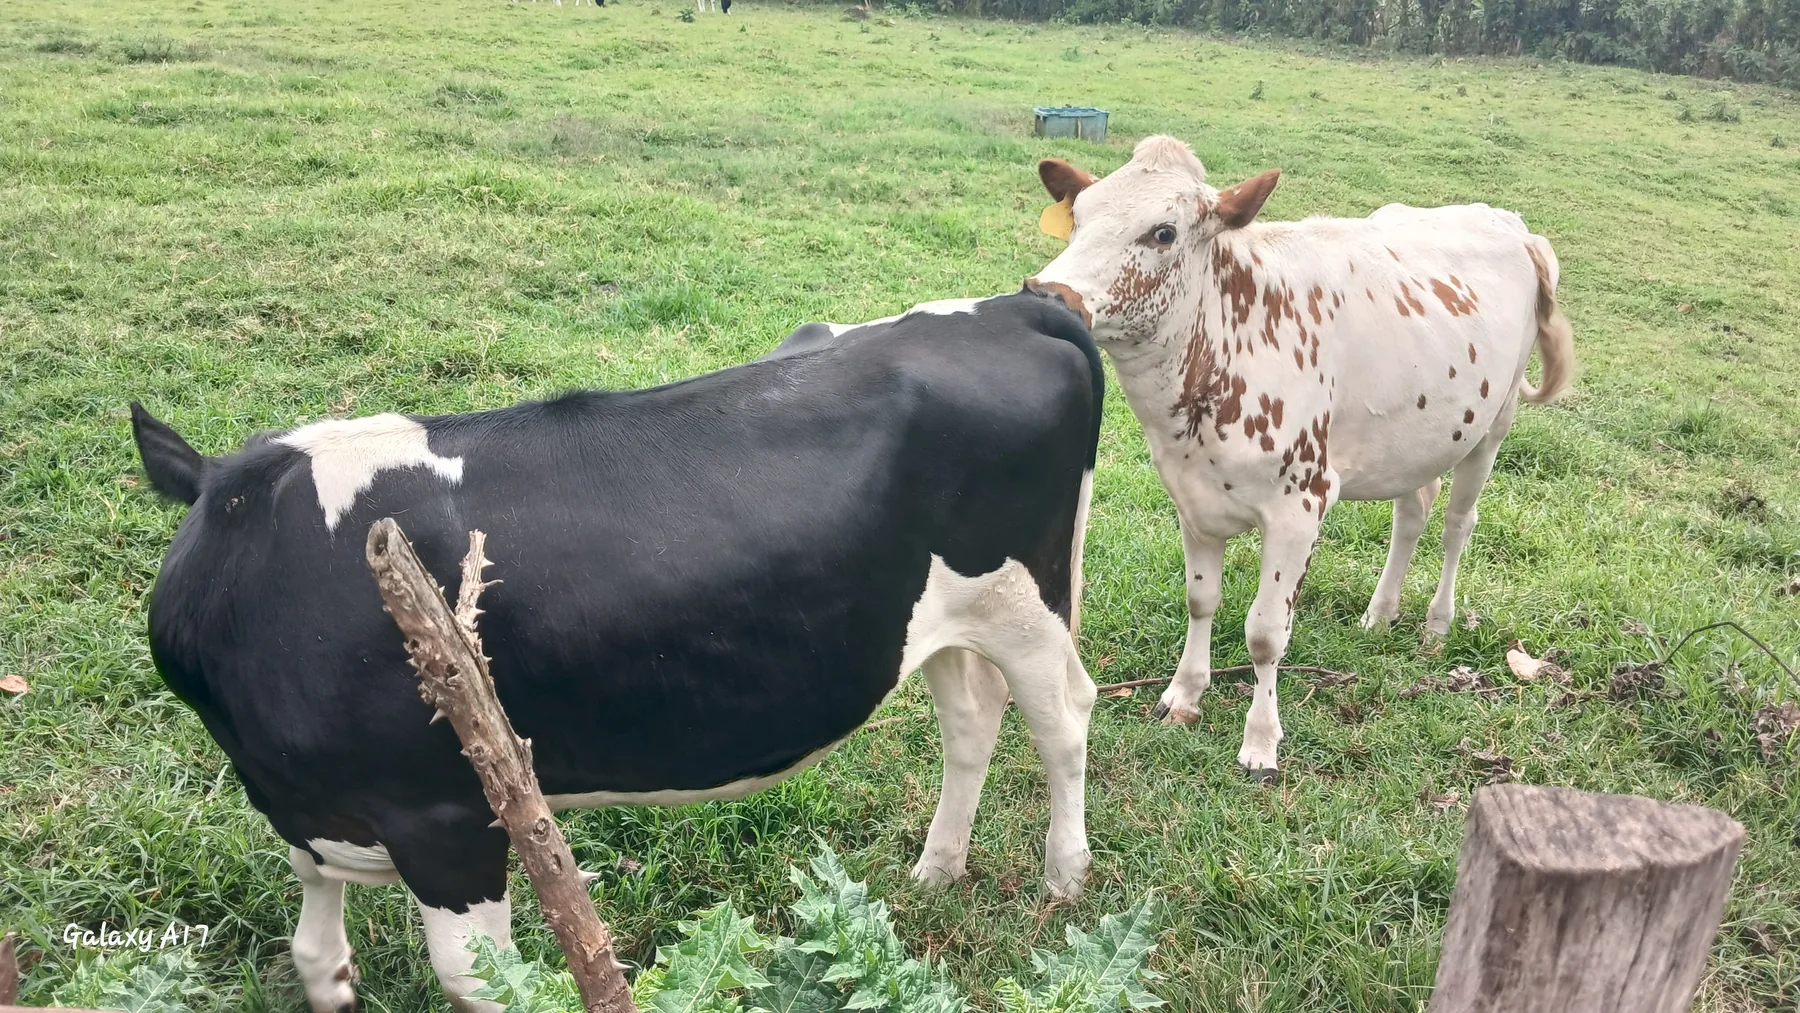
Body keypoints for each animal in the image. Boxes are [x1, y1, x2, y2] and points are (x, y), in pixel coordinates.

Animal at [127, 289, 1103, 1013]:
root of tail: (1015, 307)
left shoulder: (446, 819)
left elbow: (482, 983)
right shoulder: (308, 809)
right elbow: (313, 950)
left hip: (1028, 601)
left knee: (1064, 717)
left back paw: (1065, 876)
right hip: (943, 613)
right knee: (971, 719)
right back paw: (936, 868)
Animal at [1024, 135, 1574, 777]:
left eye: (1163, 232)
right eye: (1078, 218)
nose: (1046, 293)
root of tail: (1512, 225)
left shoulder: (1300, 504)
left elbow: (1266, 632)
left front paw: (1261, 741)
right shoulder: (1191, 498)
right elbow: (1200, 600)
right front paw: (1184, 696)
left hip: (1492, 425)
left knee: (1458, 523)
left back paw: (1437, 624)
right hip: (1417, 439)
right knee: (1412, 513)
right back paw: (1380, 613)